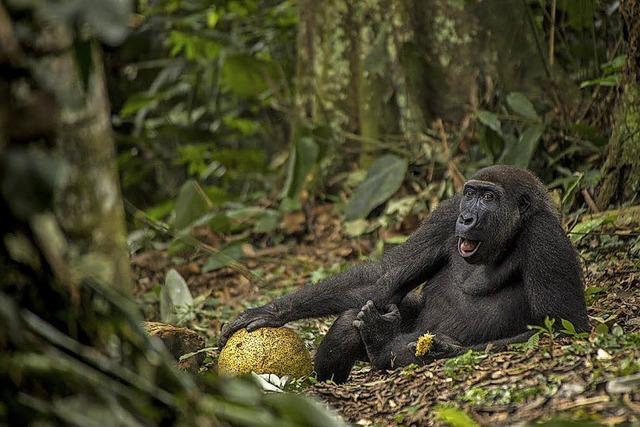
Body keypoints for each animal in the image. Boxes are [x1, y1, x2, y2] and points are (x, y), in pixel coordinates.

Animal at [218, 166, 588, 382]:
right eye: (470, 193)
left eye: (489, 197)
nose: (467, 218)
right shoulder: (445, 213)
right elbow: (385, 276)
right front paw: (272, 311)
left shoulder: (544, 237)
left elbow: (563, 327)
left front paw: (442, 350)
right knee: (356, 314)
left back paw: (382, 345)